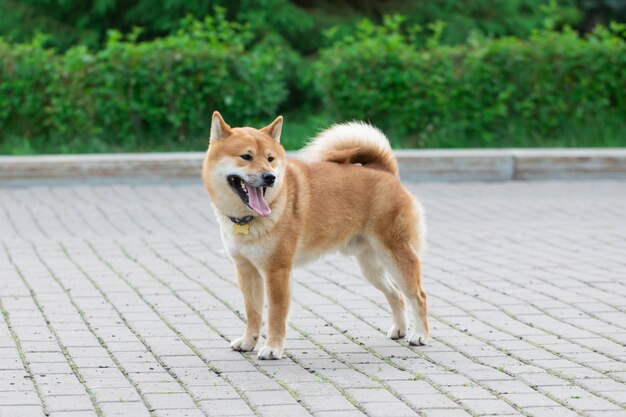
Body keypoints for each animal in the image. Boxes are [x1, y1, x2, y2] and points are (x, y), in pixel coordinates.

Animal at [202, 112, 426, 360]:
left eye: (270, 158)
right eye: (246, 156)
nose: (270, 177)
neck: (250, 218)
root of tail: (385, 171)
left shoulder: (276, 271)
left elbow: (275, 315)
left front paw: (272, 348)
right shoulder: (246, 270)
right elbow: (253, 313)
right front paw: (248, 342)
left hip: (396, 257)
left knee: (418, 296)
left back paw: (420, 335)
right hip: (371, 268)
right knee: (396, 294)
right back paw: (399, 329)